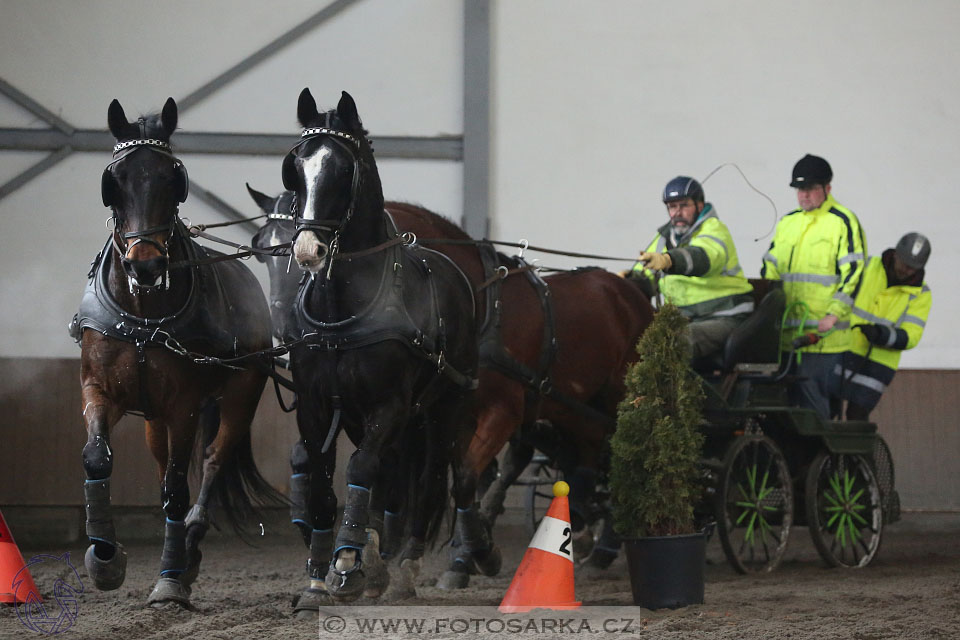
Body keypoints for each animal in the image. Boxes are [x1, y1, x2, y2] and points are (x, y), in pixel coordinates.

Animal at [69, 97, 280, 608]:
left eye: (172, 178)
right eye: (114, 181)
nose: (145, 265)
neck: (144, 313)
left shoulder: (184, 404)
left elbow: (177, 490)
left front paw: (169, 580)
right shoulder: (99, 389)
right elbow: (97, 457)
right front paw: (104, 558)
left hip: (240, 395)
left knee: (211, 462)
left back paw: (190, 545)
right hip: (154, 418)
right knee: (165, 461)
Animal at [280, 90, 488, 604]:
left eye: (342, 169)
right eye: (296, 166)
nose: (308, 250)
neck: (341, 307)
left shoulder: (390, 404)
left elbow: (360, 469)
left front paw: (349, 564)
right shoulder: (317, 405)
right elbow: (323, 483)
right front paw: (320, 578)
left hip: (445, 407)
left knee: (429, 480)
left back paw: (405, 569)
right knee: (393, 475)